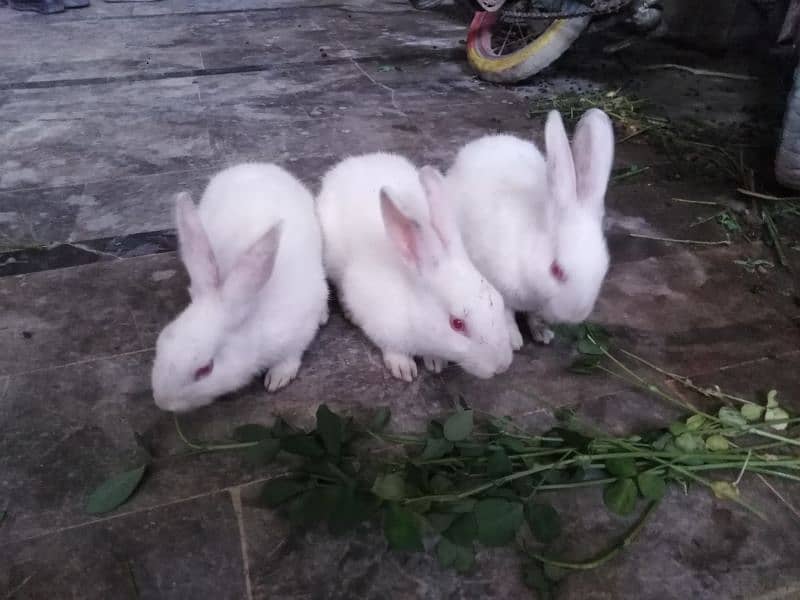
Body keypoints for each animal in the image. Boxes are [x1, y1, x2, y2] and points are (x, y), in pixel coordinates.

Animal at [150, 163, 328, 412]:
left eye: (205, 369)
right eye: (161, 341)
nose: (162, 401)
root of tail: (256, 165)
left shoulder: (299, 329)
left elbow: (291, 356)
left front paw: (277, 379)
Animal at [314, 152, 512, 382]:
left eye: (499, 300)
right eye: (457, 324)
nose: (502, 366)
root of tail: (351, 162)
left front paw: (435, 362)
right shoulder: (379, 319)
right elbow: (392, 347)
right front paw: (403, 367)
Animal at [444, 110, 612, 350]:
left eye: (604, 269)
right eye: (556, 270)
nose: (576, 314)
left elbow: (534, 316)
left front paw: (543, 333)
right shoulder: (500, 286)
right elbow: (506, 314)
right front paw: (514, 340)